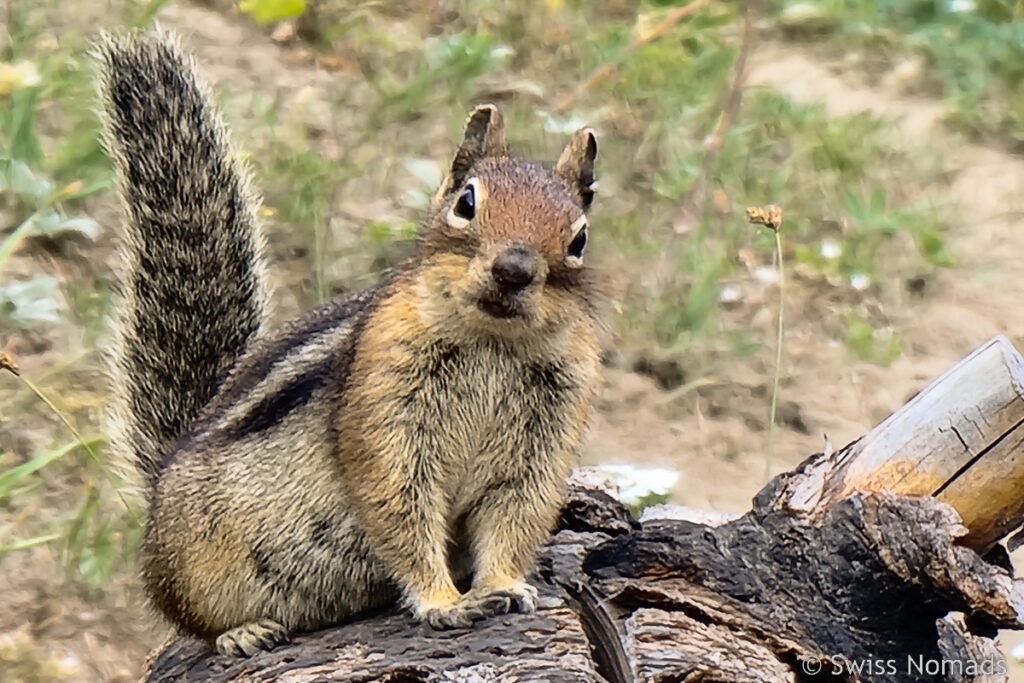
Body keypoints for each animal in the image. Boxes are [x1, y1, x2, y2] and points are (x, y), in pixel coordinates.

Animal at [98, 29, 602, 655]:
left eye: (579, 238)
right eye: (466, 202)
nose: (514, 269)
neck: (493, 343)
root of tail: (161, 478)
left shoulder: (542, 440)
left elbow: (515, 517)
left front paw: (503, 586)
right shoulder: (385, 411)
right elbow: (402, 508)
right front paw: (443, 602)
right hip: (196, 566)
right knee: (188, 620)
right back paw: (242, 632)